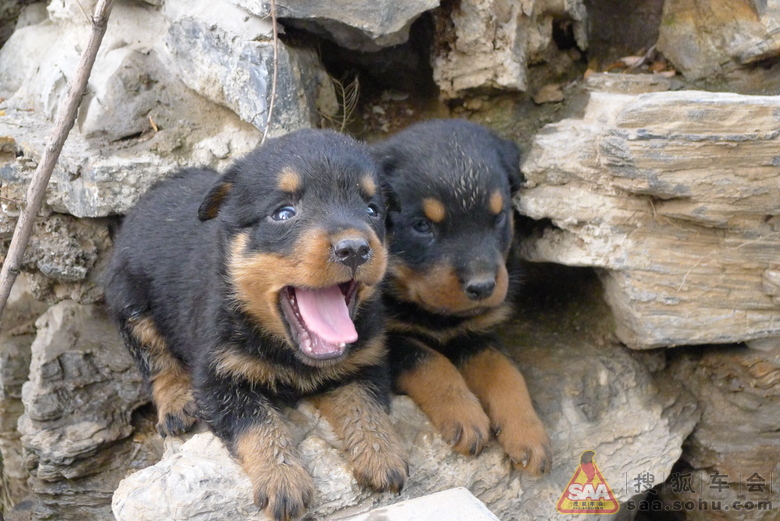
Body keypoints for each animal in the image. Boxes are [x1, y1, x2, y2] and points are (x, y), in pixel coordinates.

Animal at [103, 129, 408, 520]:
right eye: (284, 213)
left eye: (372, 210)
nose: (355, 248)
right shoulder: (218, 377)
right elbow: (258, 424)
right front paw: (283, 479)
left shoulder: (365, 359)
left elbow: (365, 407)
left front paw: (381, 454)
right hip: (128, 299)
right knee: (155, 358)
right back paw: (176, 404)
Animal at [370, 121, 548, 476]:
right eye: (421, 226)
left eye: (499, 216)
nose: (482, 286)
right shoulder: (386, 339)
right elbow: (430, 362)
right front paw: (465, 415)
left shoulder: (477, 332)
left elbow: (506, 372)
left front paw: (528, 432)